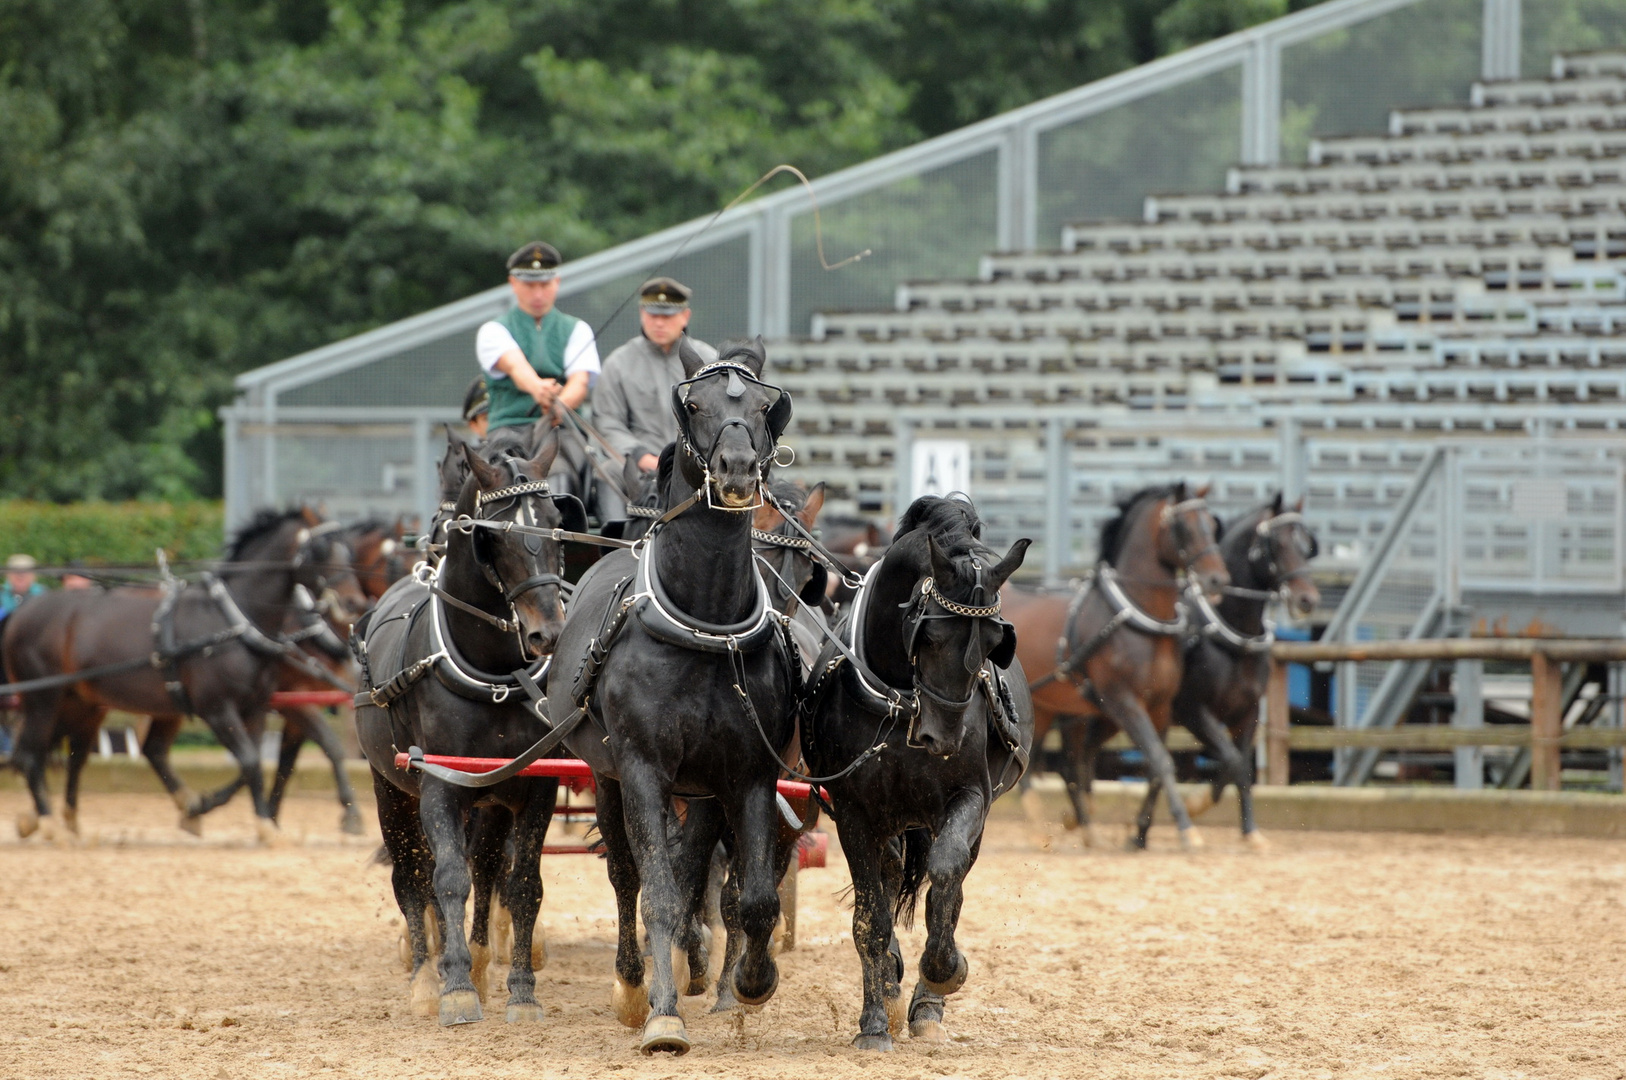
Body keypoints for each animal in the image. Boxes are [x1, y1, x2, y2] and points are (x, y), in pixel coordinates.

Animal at [357, 429, 585, 1021]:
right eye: (495, 539)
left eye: (557, 525)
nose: (550, 634)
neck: (495, 672)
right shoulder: (439, 784)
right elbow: (447, 880)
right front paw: (455, 986)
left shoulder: (533, 784)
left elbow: (522, 882)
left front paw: (521, 990)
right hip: (391, 788)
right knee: (412, 875)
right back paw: (424, 974)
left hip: (490, 797)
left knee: (485, 868)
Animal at [549, 339, 796, 1053]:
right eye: (695, 404)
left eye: (767, 405)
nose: (737, 468)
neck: (704, 624)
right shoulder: (642, 768)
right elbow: (656, 890)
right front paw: (661, 1015)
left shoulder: (750, 772)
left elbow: (754, 897)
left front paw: (751, 983)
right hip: (606, 775)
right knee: (626, 874)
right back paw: (632, 983)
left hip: (703, 789)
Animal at [799, 500, 1027, 1047]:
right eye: (933, 634)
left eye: (995, 639)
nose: (942, 738)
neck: (902, 701)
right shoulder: (853, 814)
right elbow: (870, 920)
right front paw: (873, 1022)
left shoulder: (969, 798)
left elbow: (944, 878)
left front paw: (944, 972)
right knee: (885, 881)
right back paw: (891, 984)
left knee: (950, 885)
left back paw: (925, 1002)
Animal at [1008, 481, 1222, 852]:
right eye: (1184, 527)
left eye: (1212, 524)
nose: (1217, 579)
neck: (1138, 618)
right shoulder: (1123, 701)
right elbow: (1161, 760)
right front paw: (1187, 830)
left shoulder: (1160, 706)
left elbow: (1156, 767)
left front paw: (1139, 833)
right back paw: (1038, 829)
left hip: (1046, 707)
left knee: (1043, 763)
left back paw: (1082, 829)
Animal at [1170, 494, 1320, 845]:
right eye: (1276, 544)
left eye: (1306, 545)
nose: (1307, 598)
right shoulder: (1192, 710)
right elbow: (1232, 760)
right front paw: (1197, 803)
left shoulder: (1247, 713)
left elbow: (1242, 768)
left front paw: (1250, 831)